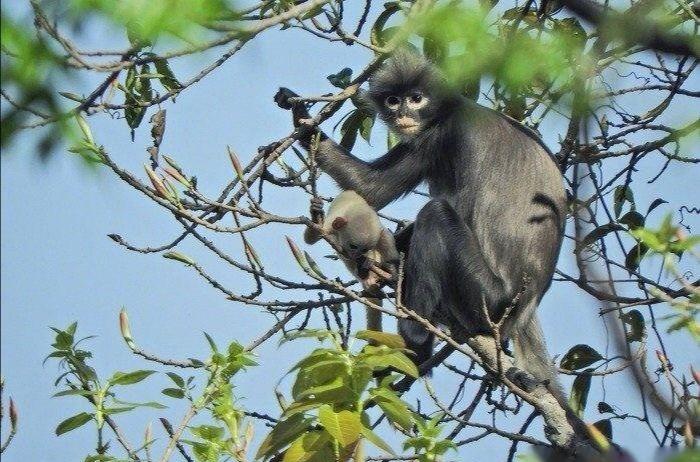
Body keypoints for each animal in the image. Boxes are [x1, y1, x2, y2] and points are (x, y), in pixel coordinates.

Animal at [304, 191, 400, 332]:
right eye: (353, 246)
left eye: (364, 249)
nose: (357, 254)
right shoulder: (330, 225)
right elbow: (311, 238)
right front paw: (315, 212)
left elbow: (384, 235)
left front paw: (391, 267)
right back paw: (365, 275)